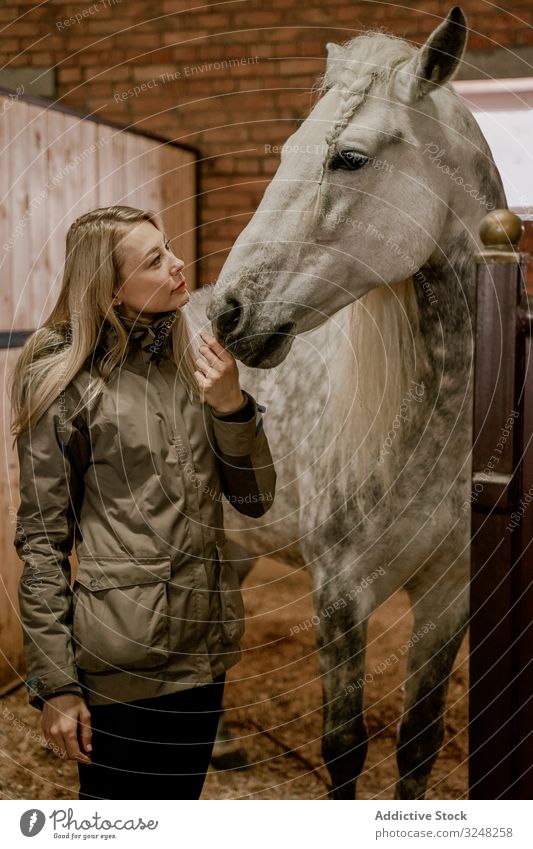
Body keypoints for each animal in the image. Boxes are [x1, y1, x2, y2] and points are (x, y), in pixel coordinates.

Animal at [185, 6, 504, 800]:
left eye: (350, 159)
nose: (231, 314)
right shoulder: (339, 596)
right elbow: (343, 749)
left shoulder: (447, 597)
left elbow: (417, 743)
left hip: (235, 544)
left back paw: (225, 747)